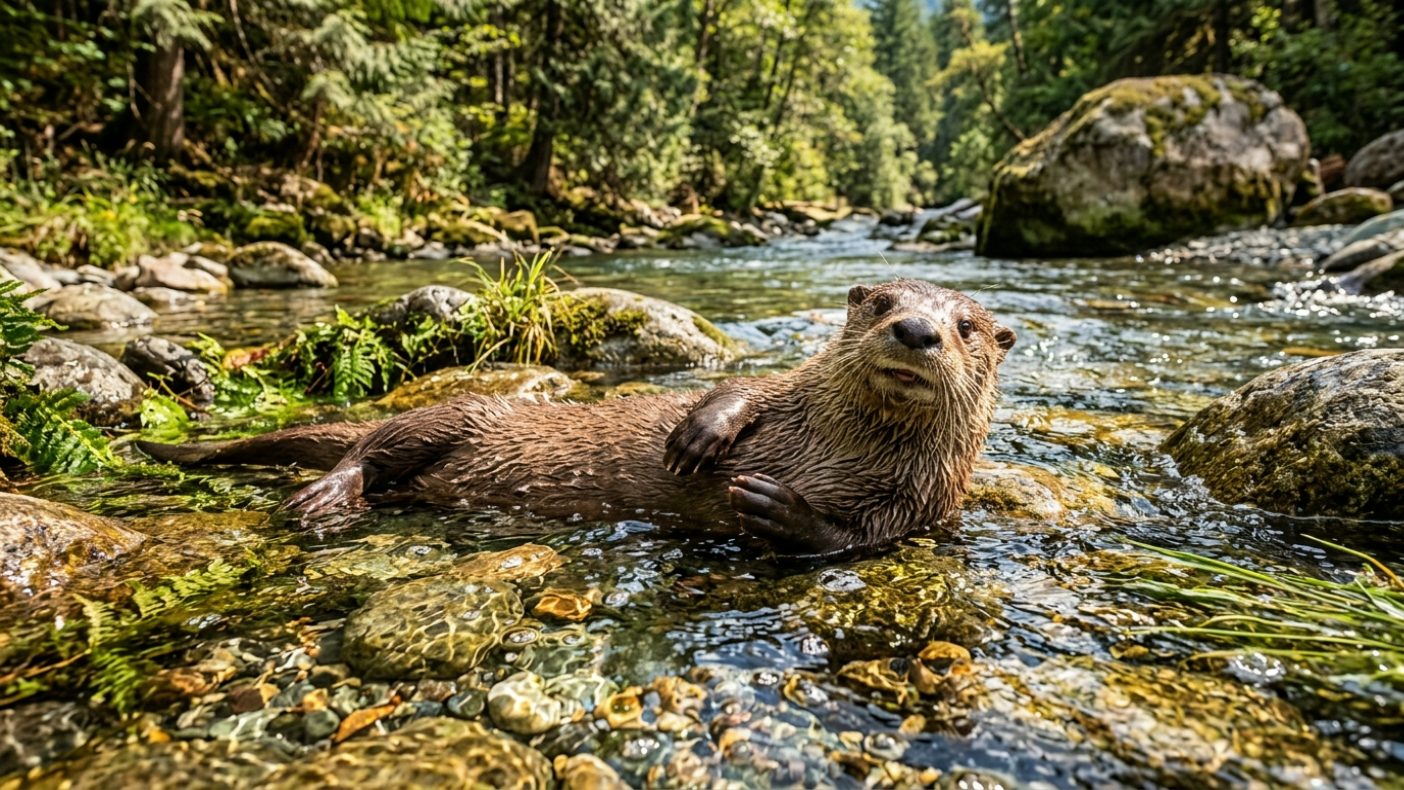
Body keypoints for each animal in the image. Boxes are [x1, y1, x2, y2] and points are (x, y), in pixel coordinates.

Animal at [139, 280, 1016, 557]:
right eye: (882, 302)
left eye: (967, 326)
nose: (917, 330)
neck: (838, 446)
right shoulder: (786, 393)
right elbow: (739, 390)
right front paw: (698, 437)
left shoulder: (922, 502)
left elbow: (848, 538)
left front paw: (777, 507)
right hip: (458, 414)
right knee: (369, 444)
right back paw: (326, 495)